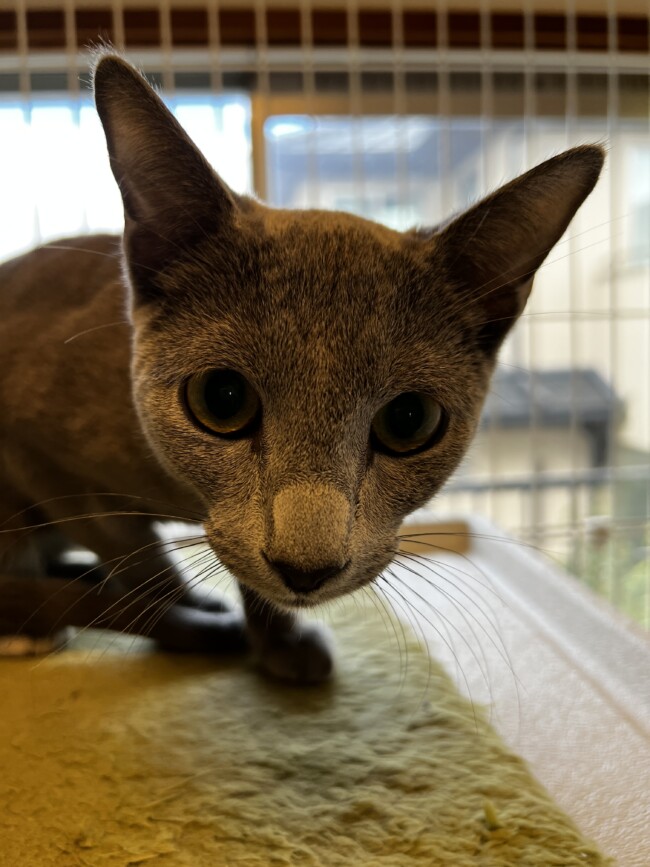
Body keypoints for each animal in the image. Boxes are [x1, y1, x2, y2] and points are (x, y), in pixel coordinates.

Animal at [0, 52, 603, 682]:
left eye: (409, 420)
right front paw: (204, 618)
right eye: (221, 398)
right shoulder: (39, 457)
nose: (306, 568)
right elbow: (146, 564)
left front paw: (278, 640)